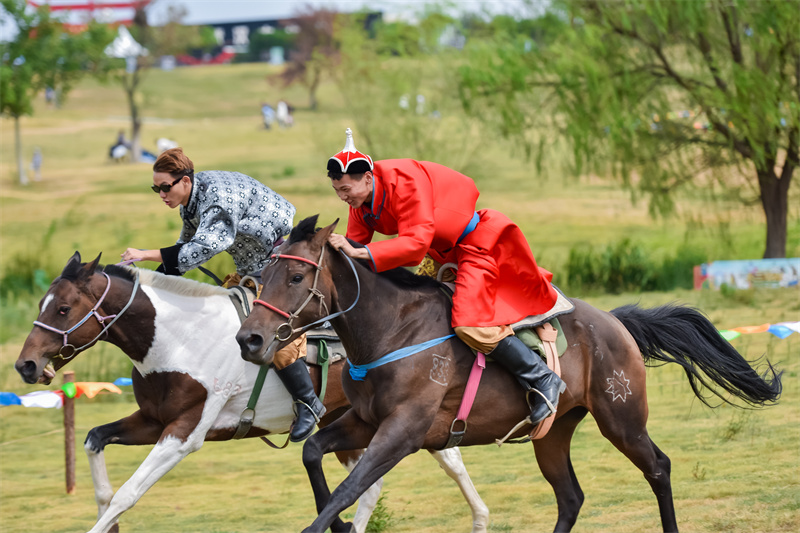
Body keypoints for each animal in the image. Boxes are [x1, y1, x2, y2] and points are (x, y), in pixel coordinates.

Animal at [14, 251, 488, 532]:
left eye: (63, 308)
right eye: (42, 303)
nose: (25, 365)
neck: (179, 338)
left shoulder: (185, 433)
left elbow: (129, 493)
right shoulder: (151, 421)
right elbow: (96, 448)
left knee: (448, 458)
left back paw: (481, 517)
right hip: (352, 421)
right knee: (374, 484)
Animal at [234, 216, 784, 532]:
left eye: (297, 276)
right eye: (261, 275)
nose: (250, 339)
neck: (391, 329)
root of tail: (615, 322)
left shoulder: (403, 432)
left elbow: (349, 490)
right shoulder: (364, 421)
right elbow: (312, 453)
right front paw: (340, 523)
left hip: (622, 417)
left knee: (658, 468)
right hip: (553, 431)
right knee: (570, 496)